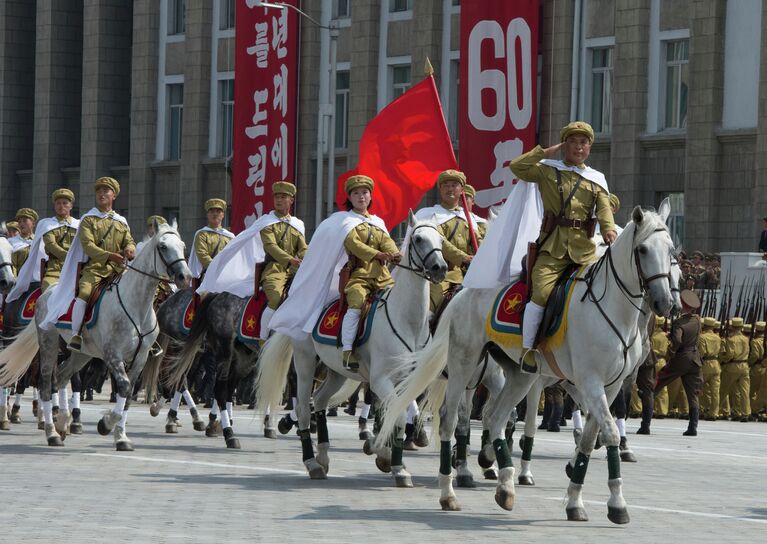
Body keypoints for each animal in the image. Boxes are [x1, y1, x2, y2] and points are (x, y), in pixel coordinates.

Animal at [0, 219, 190, 448]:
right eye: (163, 246)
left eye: (182, 245)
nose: (185, 277)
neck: (136, 306)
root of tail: (47, 292)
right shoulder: (112, 355)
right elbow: (124, 387)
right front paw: (105, 424)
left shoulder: (141, 357)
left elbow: (128, 394)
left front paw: (121, 437)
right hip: (48, 343)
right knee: (45, 382)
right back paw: (51, 432)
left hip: (82, 353)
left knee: (62, 375)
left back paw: (62, 422)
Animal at [258, 212, 450, 484]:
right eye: (419, 239)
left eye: (441, 240)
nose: (439, 268)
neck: (407, 320)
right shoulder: (380, 379)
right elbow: (398, 415)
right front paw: (396, 465)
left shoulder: (407, 379)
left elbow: (400, 413)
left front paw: (384, 454)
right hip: (305, 363)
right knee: (304, 409)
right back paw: (312, 463)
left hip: (335, 372)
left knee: (320, 401)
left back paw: (323, 456)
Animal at [376, 204, 676, 524]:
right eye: (642, 249)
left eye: (671, 249)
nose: (665, 302)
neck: (612, 309)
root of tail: (464, 291)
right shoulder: (590, 382)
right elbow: (607, 433)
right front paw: (617, 503)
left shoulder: (611, 385)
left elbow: (588, 439)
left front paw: (575, 500)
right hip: (464, 366)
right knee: (451, 420)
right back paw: (449, 492)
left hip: (519, 374)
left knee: (495, 417)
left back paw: (504, 486)